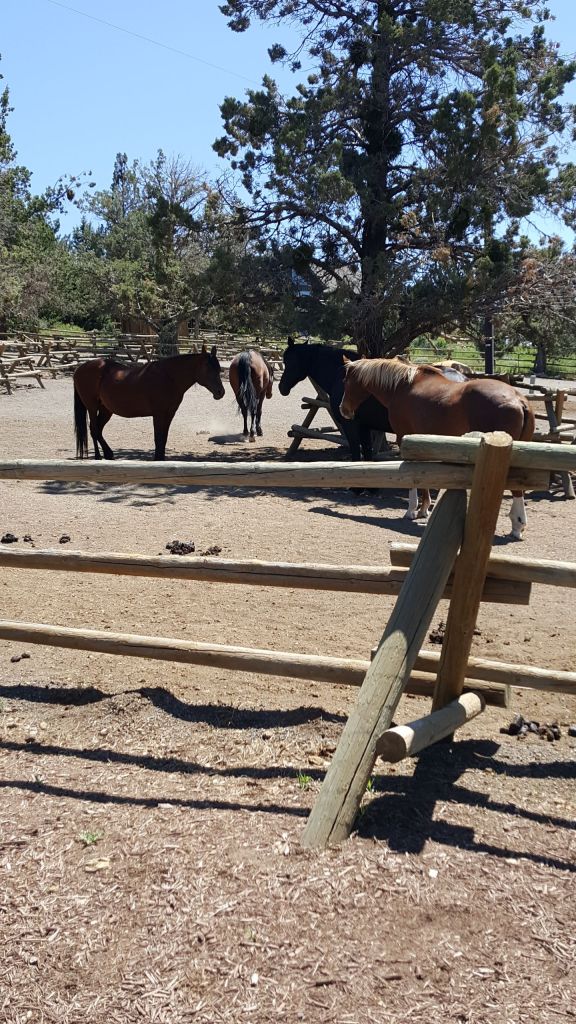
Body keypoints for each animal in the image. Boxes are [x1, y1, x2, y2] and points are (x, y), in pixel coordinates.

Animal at [73, 345, 225, 460]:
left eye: (218, 369)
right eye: (208, 368)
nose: (220, 392)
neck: (169, 377)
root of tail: (79, 369)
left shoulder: (169, 414)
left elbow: (163, 438)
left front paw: (161, 458)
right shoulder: (158, 414)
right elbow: (158, 438)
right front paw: (157, 459)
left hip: (106, 410)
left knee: (98, 430)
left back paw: (108, 454)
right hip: (92, 407)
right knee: (94, 429)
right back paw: (98, 456)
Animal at [339, 357, 535, 538]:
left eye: (346, 381)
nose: (344, 409)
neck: (402, 386)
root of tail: (518, 399)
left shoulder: (403, 437)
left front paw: (412, 510)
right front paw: (424, 509)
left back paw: (517, 524)